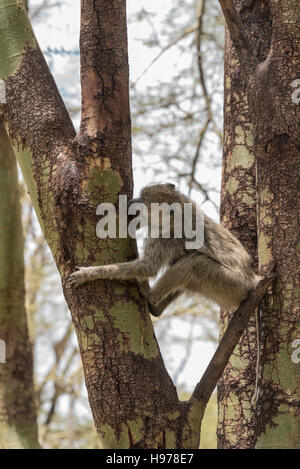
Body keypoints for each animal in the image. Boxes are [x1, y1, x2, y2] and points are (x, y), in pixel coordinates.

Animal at [68, 182, 260, 314]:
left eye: (144, 204)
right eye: (140, 197)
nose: (131, 202)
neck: (178, 212)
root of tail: (251, 281)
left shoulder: (165, 236)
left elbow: (149, 267)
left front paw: (89, 274)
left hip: (229, 284)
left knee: (194, 263)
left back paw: (150, 296)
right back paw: (157, 309)